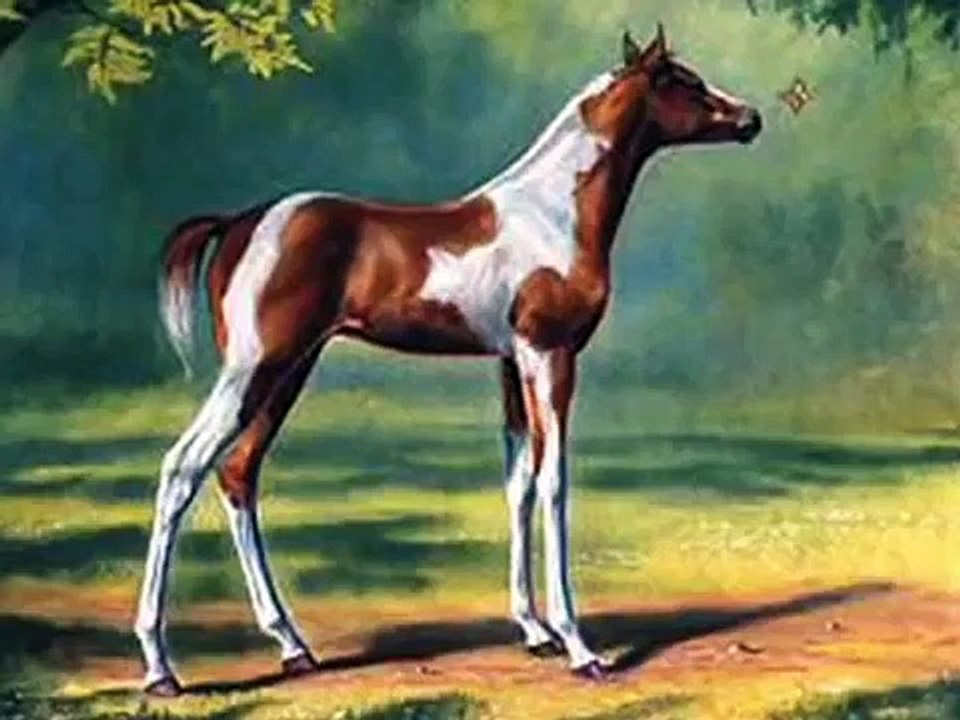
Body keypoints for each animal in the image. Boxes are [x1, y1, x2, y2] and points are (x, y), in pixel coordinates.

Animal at [134, 24, 762, 695]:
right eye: (683, 82)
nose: (750, 119)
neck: (554, 211)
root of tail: (239, 223)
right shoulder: (550, 354)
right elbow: (554, 482)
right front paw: (578, 645)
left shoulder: (511, 364)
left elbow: (518, 483)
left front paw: (535, 631)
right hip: (254, 370)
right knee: (182, 468)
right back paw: (160, 666)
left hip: (287, 373)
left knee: (238, 474)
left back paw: (291, 644)